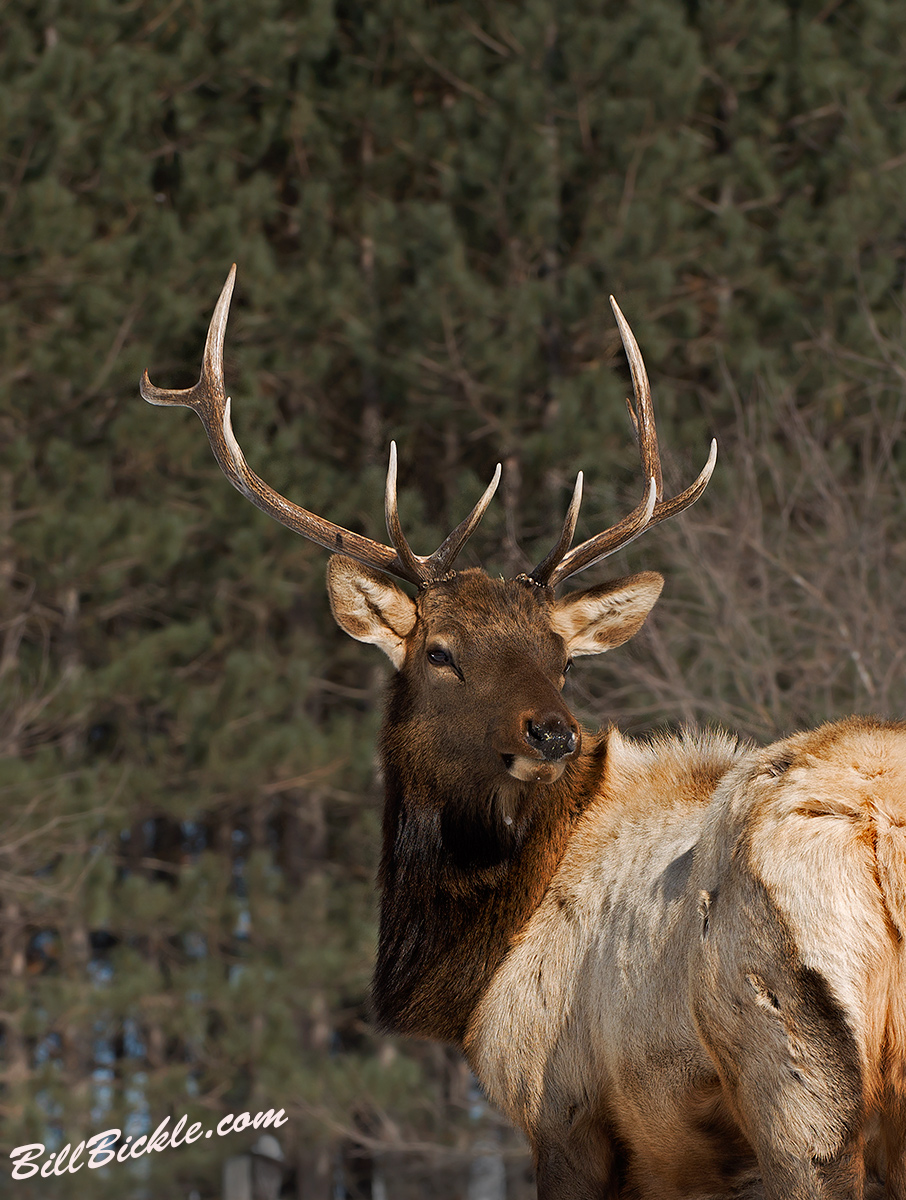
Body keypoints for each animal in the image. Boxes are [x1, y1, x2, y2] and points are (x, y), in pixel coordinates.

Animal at [142, 265, 906, 1200]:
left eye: (561, 658)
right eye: (440, 651)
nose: (553, 733)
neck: (477, 969)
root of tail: (881, 832)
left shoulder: (562, 1106)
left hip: (797, 1076)